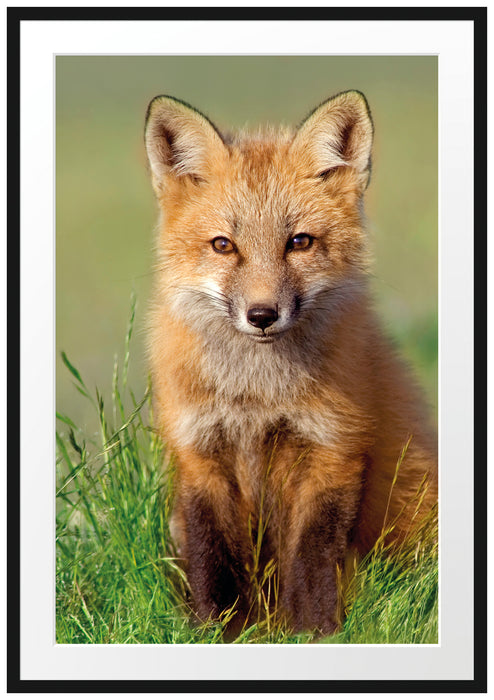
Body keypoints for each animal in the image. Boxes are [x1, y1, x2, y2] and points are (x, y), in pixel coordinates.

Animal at [144, 90, 438, 637]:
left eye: (299, 242)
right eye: (223, 245)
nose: (262, 315)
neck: (257, 397)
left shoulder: (332, 450)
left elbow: (311, 561)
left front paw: (312, 634)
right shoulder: (200, 452)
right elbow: (212, 560)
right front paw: (217, 633)